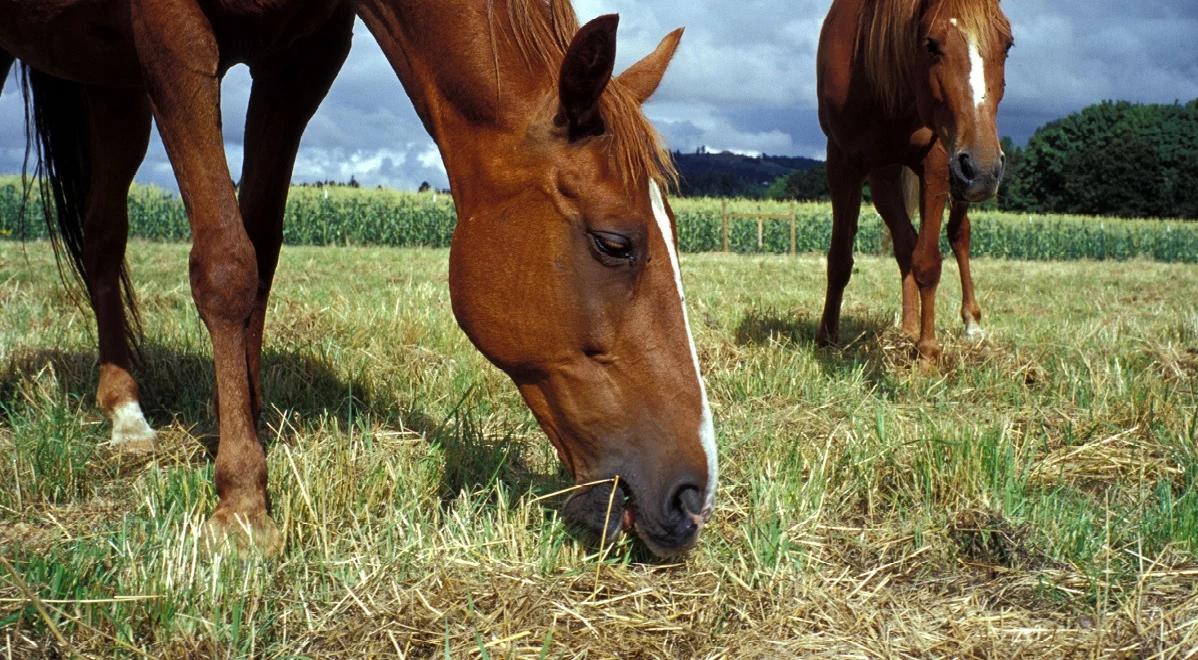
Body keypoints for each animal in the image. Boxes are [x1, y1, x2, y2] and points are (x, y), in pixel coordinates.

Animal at [0, 1, 714, 558]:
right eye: (614, 243)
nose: (692, 497)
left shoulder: (301, 61)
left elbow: (260, 252)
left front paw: (243, 432)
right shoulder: (171, 35)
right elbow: (227, 264)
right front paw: (242, 504)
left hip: (110, 84)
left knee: (102, 237)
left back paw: (124, 408)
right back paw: (125, 415)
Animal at [814, 0, 1011, 361]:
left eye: (1007, 45)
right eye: (930, 44)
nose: (984, 169)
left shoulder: (937, 161)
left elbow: (928, 261)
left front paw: (928, 352)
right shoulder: (841, 160)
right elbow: (840, 258)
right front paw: (827, 338)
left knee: (958, 234)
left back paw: (971, 323)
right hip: (889, 178)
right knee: (906, 242)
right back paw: (907, 328)